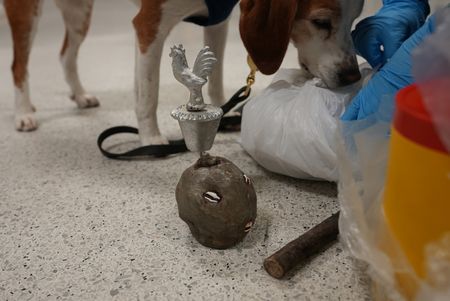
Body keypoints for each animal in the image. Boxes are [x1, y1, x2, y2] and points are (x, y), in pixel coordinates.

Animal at [2, 0, 362, 145]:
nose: (352, 77)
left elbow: (214, 79)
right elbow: (148, 93)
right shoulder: (149, 26)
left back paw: (78, 94)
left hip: (79, 13)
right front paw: (150, 139)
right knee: (18, 65)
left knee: (66, 56)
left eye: (356, 18)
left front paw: (219, 112)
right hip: (29, 12)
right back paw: (23, 113)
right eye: (320, 22)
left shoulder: (217, 22)